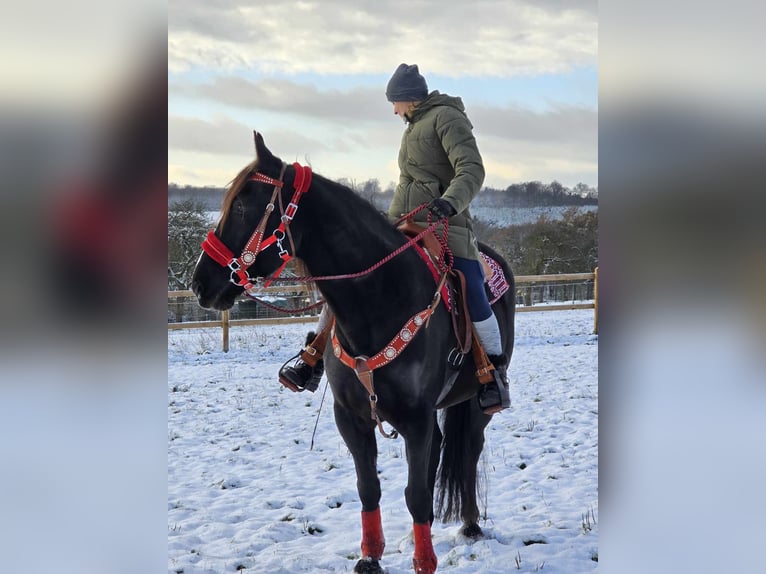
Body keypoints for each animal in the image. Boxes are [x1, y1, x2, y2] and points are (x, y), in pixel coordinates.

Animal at [190, 134, 516, 574]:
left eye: (242, 207)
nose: (200, 283)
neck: (380, 299)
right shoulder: (352, 417)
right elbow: (369, 488)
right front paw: (371, 556)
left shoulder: (416, 419)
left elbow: (415, 493)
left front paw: (424, 561)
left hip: (476, 408)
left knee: (468, 451)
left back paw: (469, 524)